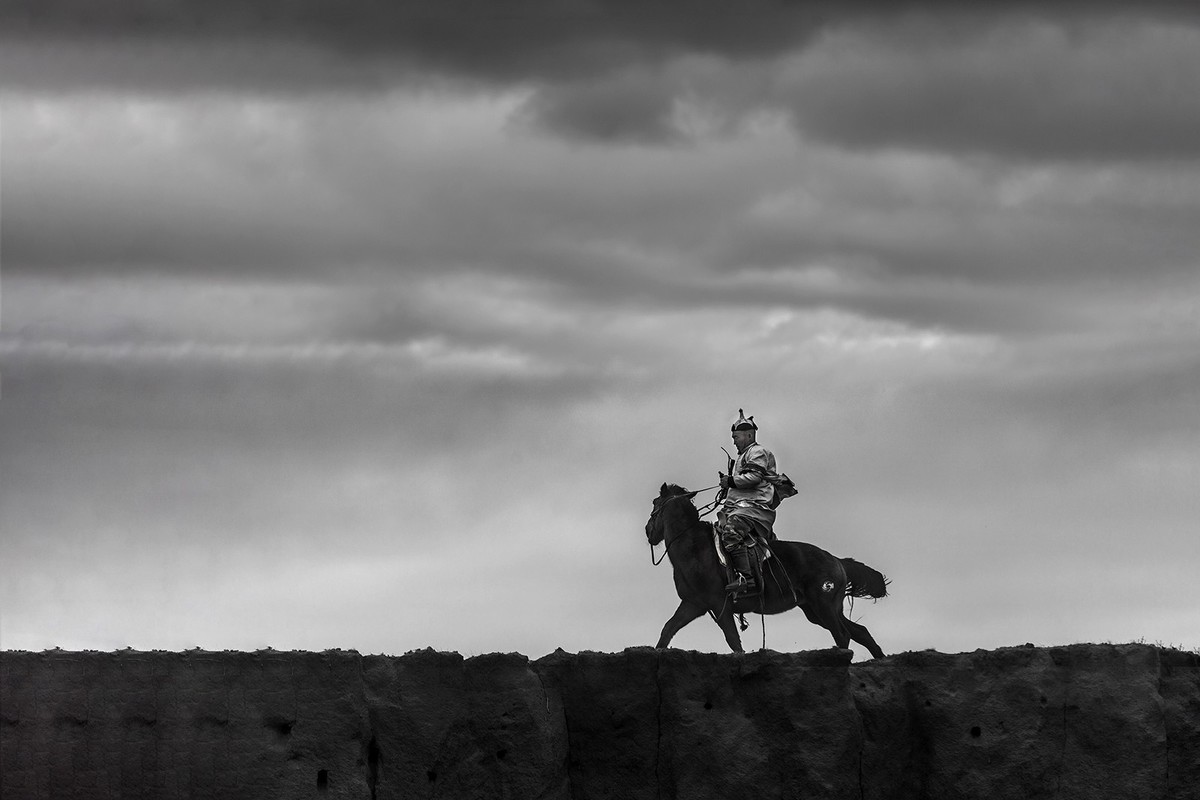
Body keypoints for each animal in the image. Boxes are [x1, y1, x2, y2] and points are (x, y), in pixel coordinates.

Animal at [648, 482, 892, 657]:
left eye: (654, 503)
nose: (648, 531)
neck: (695, 549)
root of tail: (837, 560)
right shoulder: (693, 604)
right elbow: (668, 629)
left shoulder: (720, 606)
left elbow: (733, 640)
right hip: (818, 609)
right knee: (859, 632)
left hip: (824, 606)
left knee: (842, 635)